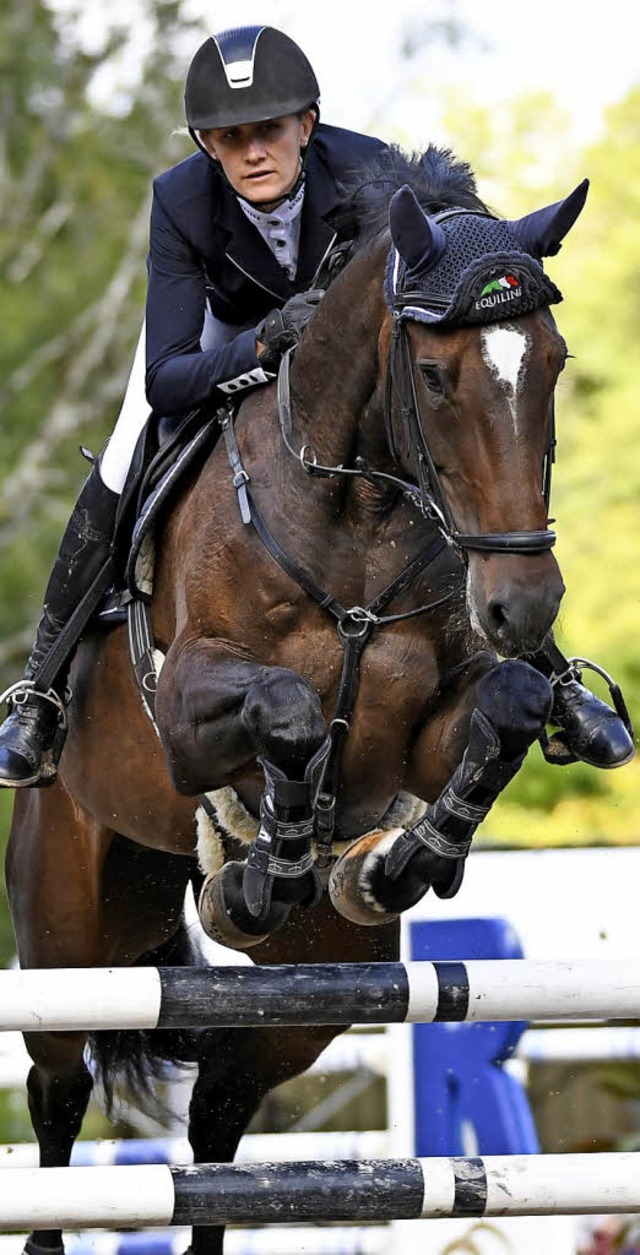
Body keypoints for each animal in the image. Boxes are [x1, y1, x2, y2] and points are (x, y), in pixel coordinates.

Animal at [5, 149, 587, 1255]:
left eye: (554, 363)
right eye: (434, 376)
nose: (522, 604)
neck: (355, 507)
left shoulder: (428, 727)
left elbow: (505, 705)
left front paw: (399, 860)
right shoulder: (188, 716)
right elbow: (287, 712)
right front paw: (268, 863)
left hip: (305, 992)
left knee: (219, 1129)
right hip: (67, 931)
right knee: (59, 1095)